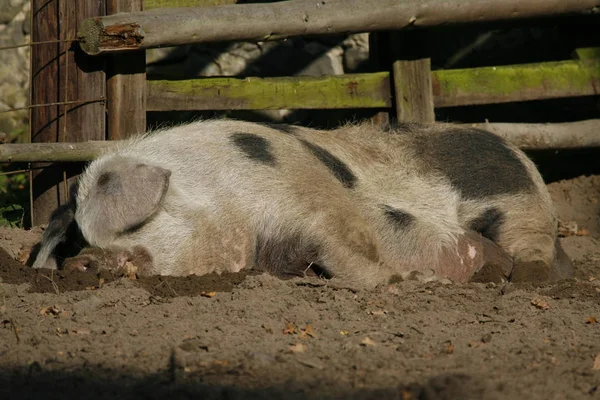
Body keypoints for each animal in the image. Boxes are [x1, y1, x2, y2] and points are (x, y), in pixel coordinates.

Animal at [30, 119, 576, 288]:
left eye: (126, 228)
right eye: (70, 239)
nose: (80, 261)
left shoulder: (320, 209)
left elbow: (345, 251)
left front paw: (409, 279)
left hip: (514, 198)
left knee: (534, 249)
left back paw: (519, 278)